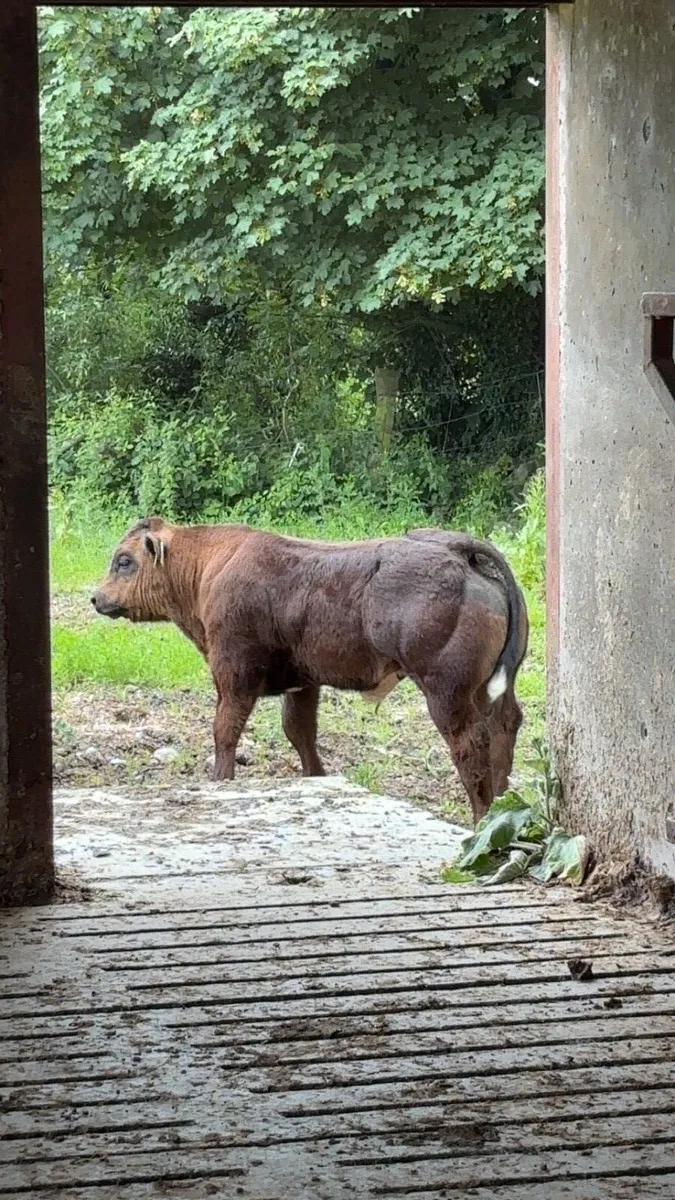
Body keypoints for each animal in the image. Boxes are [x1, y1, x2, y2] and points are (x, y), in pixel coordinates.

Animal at [92, 518, 528, 824]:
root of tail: (459, 549)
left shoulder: (234, 676)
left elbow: (225, 730)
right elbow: (300, 732)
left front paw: (219, 780)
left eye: (124, 561)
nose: (96, 597)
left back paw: (481, 818)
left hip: (446, 693)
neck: (211, 564)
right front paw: (316, 777)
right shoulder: (303, 684)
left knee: (469, 742)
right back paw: (501, 805)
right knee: (504, 726)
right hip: (489, 690)